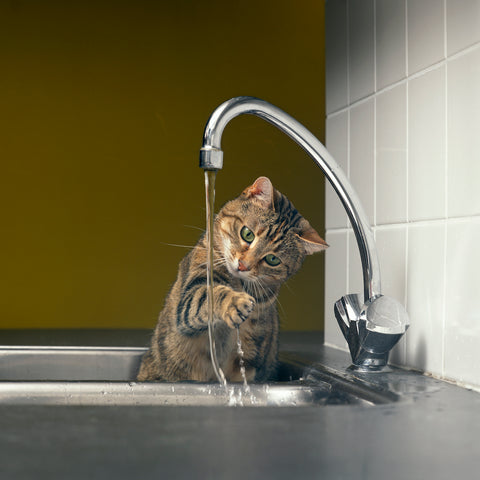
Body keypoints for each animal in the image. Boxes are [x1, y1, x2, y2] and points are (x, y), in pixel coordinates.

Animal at [137, 176, 328, 382]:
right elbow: (208, 295)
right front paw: (236, 303)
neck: (239, 283)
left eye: (272, 259)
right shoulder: (191, 294)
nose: (243, 265)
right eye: (247, 234)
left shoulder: (251, 354)